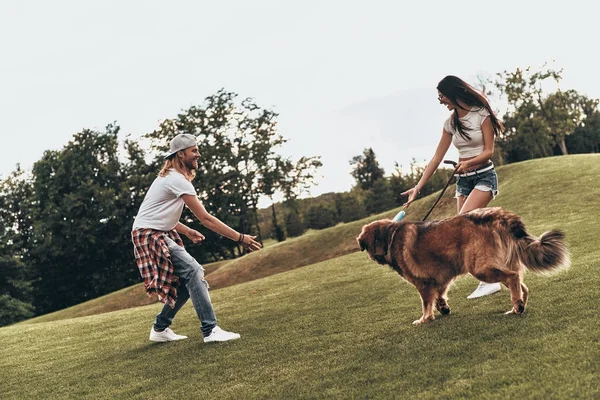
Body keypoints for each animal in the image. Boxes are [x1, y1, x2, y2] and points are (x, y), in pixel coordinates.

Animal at [356, 208, 572, 324]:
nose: (370, 257)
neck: (390, 236)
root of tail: (500, 215)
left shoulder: (423, 284)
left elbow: (426, 303)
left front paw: (425, 319)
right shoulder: (442, 277)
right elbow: (440, 295)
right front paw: (442, 307)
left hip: (481, 268)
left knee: (513, 277)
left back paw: (517, 305)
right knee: (521, 285)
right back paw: (517, 307)